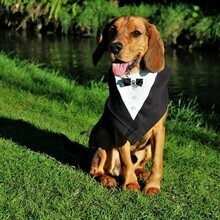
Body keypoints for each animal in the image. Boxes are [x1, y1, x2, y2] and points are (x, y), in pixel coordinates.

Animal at [88, 15, 170, 196]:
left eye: (136, 33)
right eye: (112, 30)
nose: (114, 46)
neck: (134, 80)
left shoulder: (159, 130)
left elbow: (157, 162)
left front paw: (153, 185)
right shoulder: (120, 130)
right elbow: (126, 161)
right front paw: (131, 183)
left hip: (147, 148)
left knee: (139, 165)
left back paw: (142, 173)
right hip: (102, 136)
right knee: (95, 170)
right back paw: (107, 179)